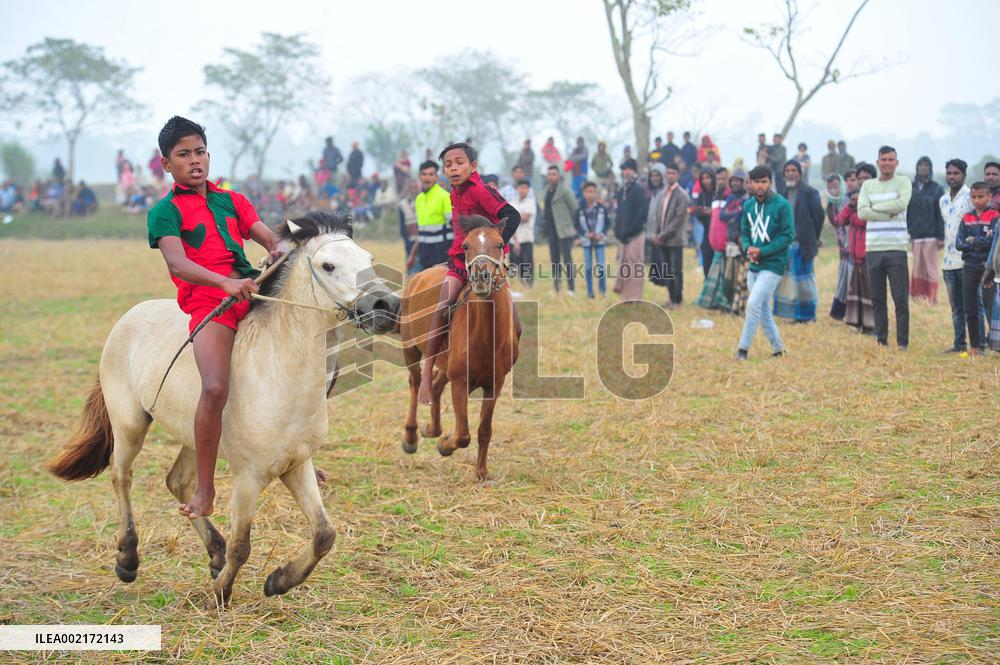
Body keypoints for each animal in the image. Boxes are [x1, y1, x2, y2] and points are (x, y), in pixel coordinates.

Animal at [45, 210, 400, 604]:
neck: (279, 371)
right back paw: (128, 559)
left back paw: (212, 552)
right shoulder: (248, 477)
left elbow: (324, 534)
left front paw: (279, 581)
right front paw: (220, 592)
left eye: (368, 258)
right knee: (122, 476)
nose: (386, 306)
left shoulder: (297, 465)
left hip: (194, 433)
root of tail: (128, 318)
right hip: (129, 424)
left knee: (179, 483)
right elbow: (242, 545)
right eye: (328, 265)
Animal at [399, 216, 519, 480]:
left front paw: (482, 471)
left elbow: (484, 429)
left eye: (499, 244)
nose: (482, 277)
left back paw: (432, 429)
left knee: (434, 385)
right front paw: (446, 445)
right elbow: (463, 434)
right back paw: (411, 436)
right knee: (416, 381)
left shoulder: (495, 384)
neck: (487, 336)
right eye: (465, 246)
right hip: (410, 348)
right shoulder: (460, 382)